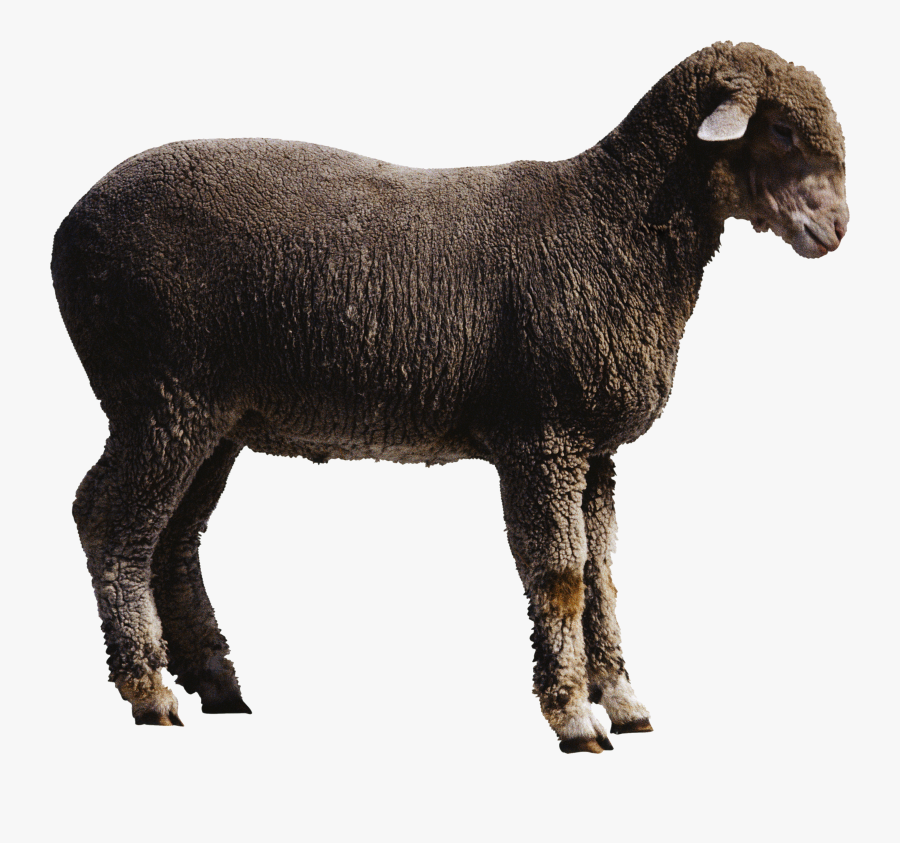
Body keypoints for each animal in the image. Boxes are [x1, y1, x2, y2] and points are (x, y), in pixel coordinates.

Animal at [52, 41, 848, 753]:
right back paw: (150, 691)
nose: (837, 229)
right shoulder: (543, 435)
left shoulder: (594, 449)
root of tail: (70, 224)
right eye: (781, 130)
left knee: (174, 538)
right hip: (160, 391)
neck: (615, 223)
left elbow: (604, 578)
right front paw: (574, 718)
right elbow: (561, 577)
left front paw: (623, 702)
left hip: (211, 415)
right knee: (111, 520)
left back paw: (217, 683)